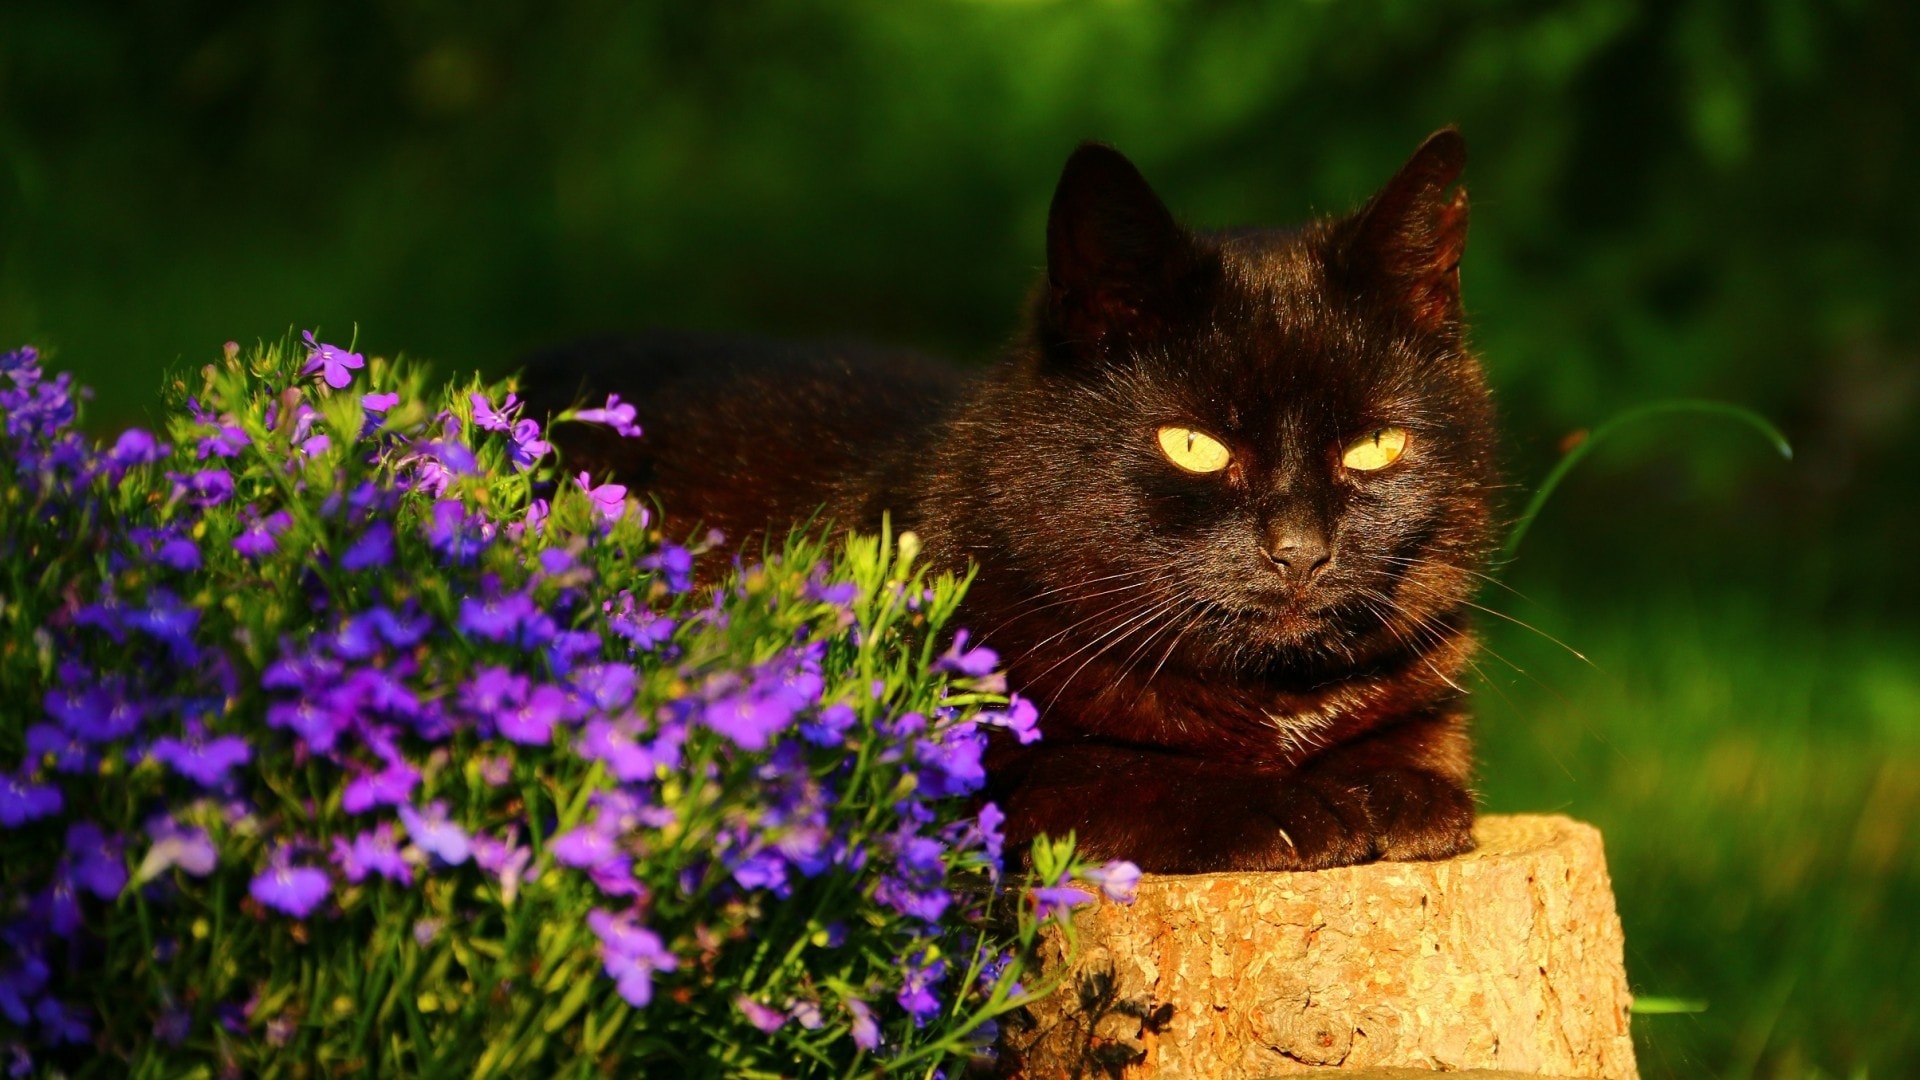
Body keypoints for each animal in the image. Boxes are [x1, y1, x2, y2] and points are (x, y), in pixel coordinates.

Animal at [526, 130, 1497, 868]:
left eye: (1375, 447)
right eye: (1192, 445)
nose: (1299, 548)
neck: (1272, 706)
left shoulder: (1430, 697)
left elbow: (1426, 760)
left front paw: (1386, 792)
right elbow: (1104, 770)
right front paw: (1293, 809)